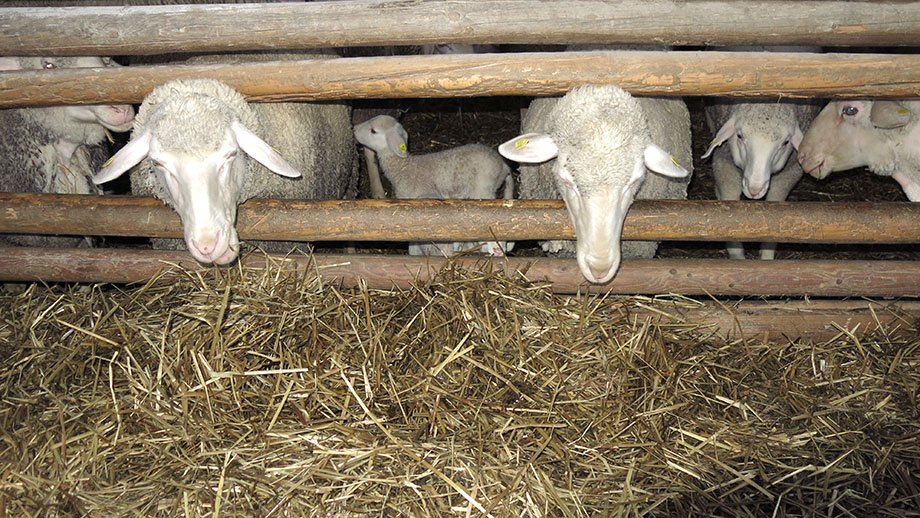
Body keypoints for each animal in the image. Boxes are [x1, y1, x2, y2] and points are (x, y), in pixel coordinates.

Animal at [700, 99, 824, 260]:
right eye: (739, 136)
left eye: (785, 143)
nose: (754, 190)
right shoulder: (724, 162)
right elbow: (729, 207)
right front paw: (737, 255)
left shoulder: (789, 172)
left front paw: (766, 256)